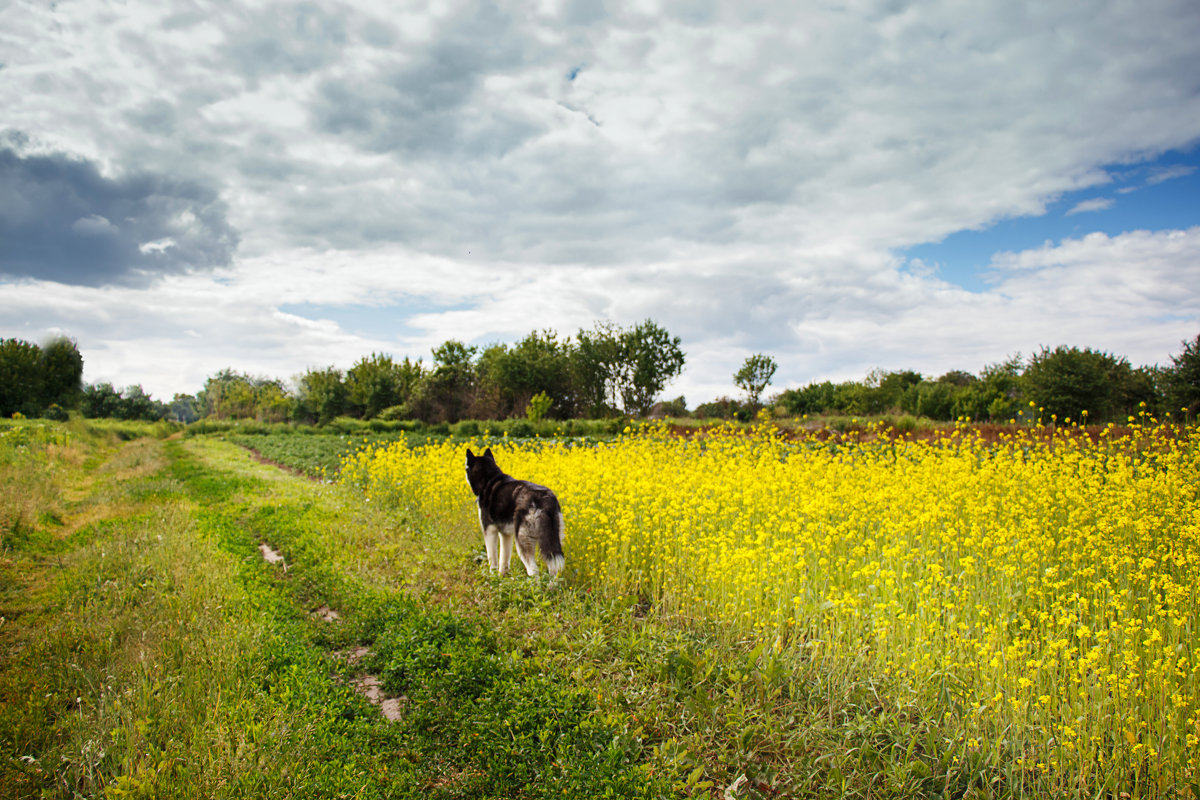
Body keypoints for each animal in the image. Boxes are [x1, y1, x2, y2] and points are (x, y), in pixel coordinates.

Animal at [463, 448, 566, 578]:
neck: (489, 479)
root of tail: (544, 498)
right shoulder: (506, 534)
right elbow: (504, 560)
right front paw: (502, 577)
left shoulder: (489, 530)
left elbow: (493, 560)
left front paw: (493, 578)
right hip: (552, 541)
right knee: (553, 569)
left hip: (522, 540)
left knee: (533, 570)